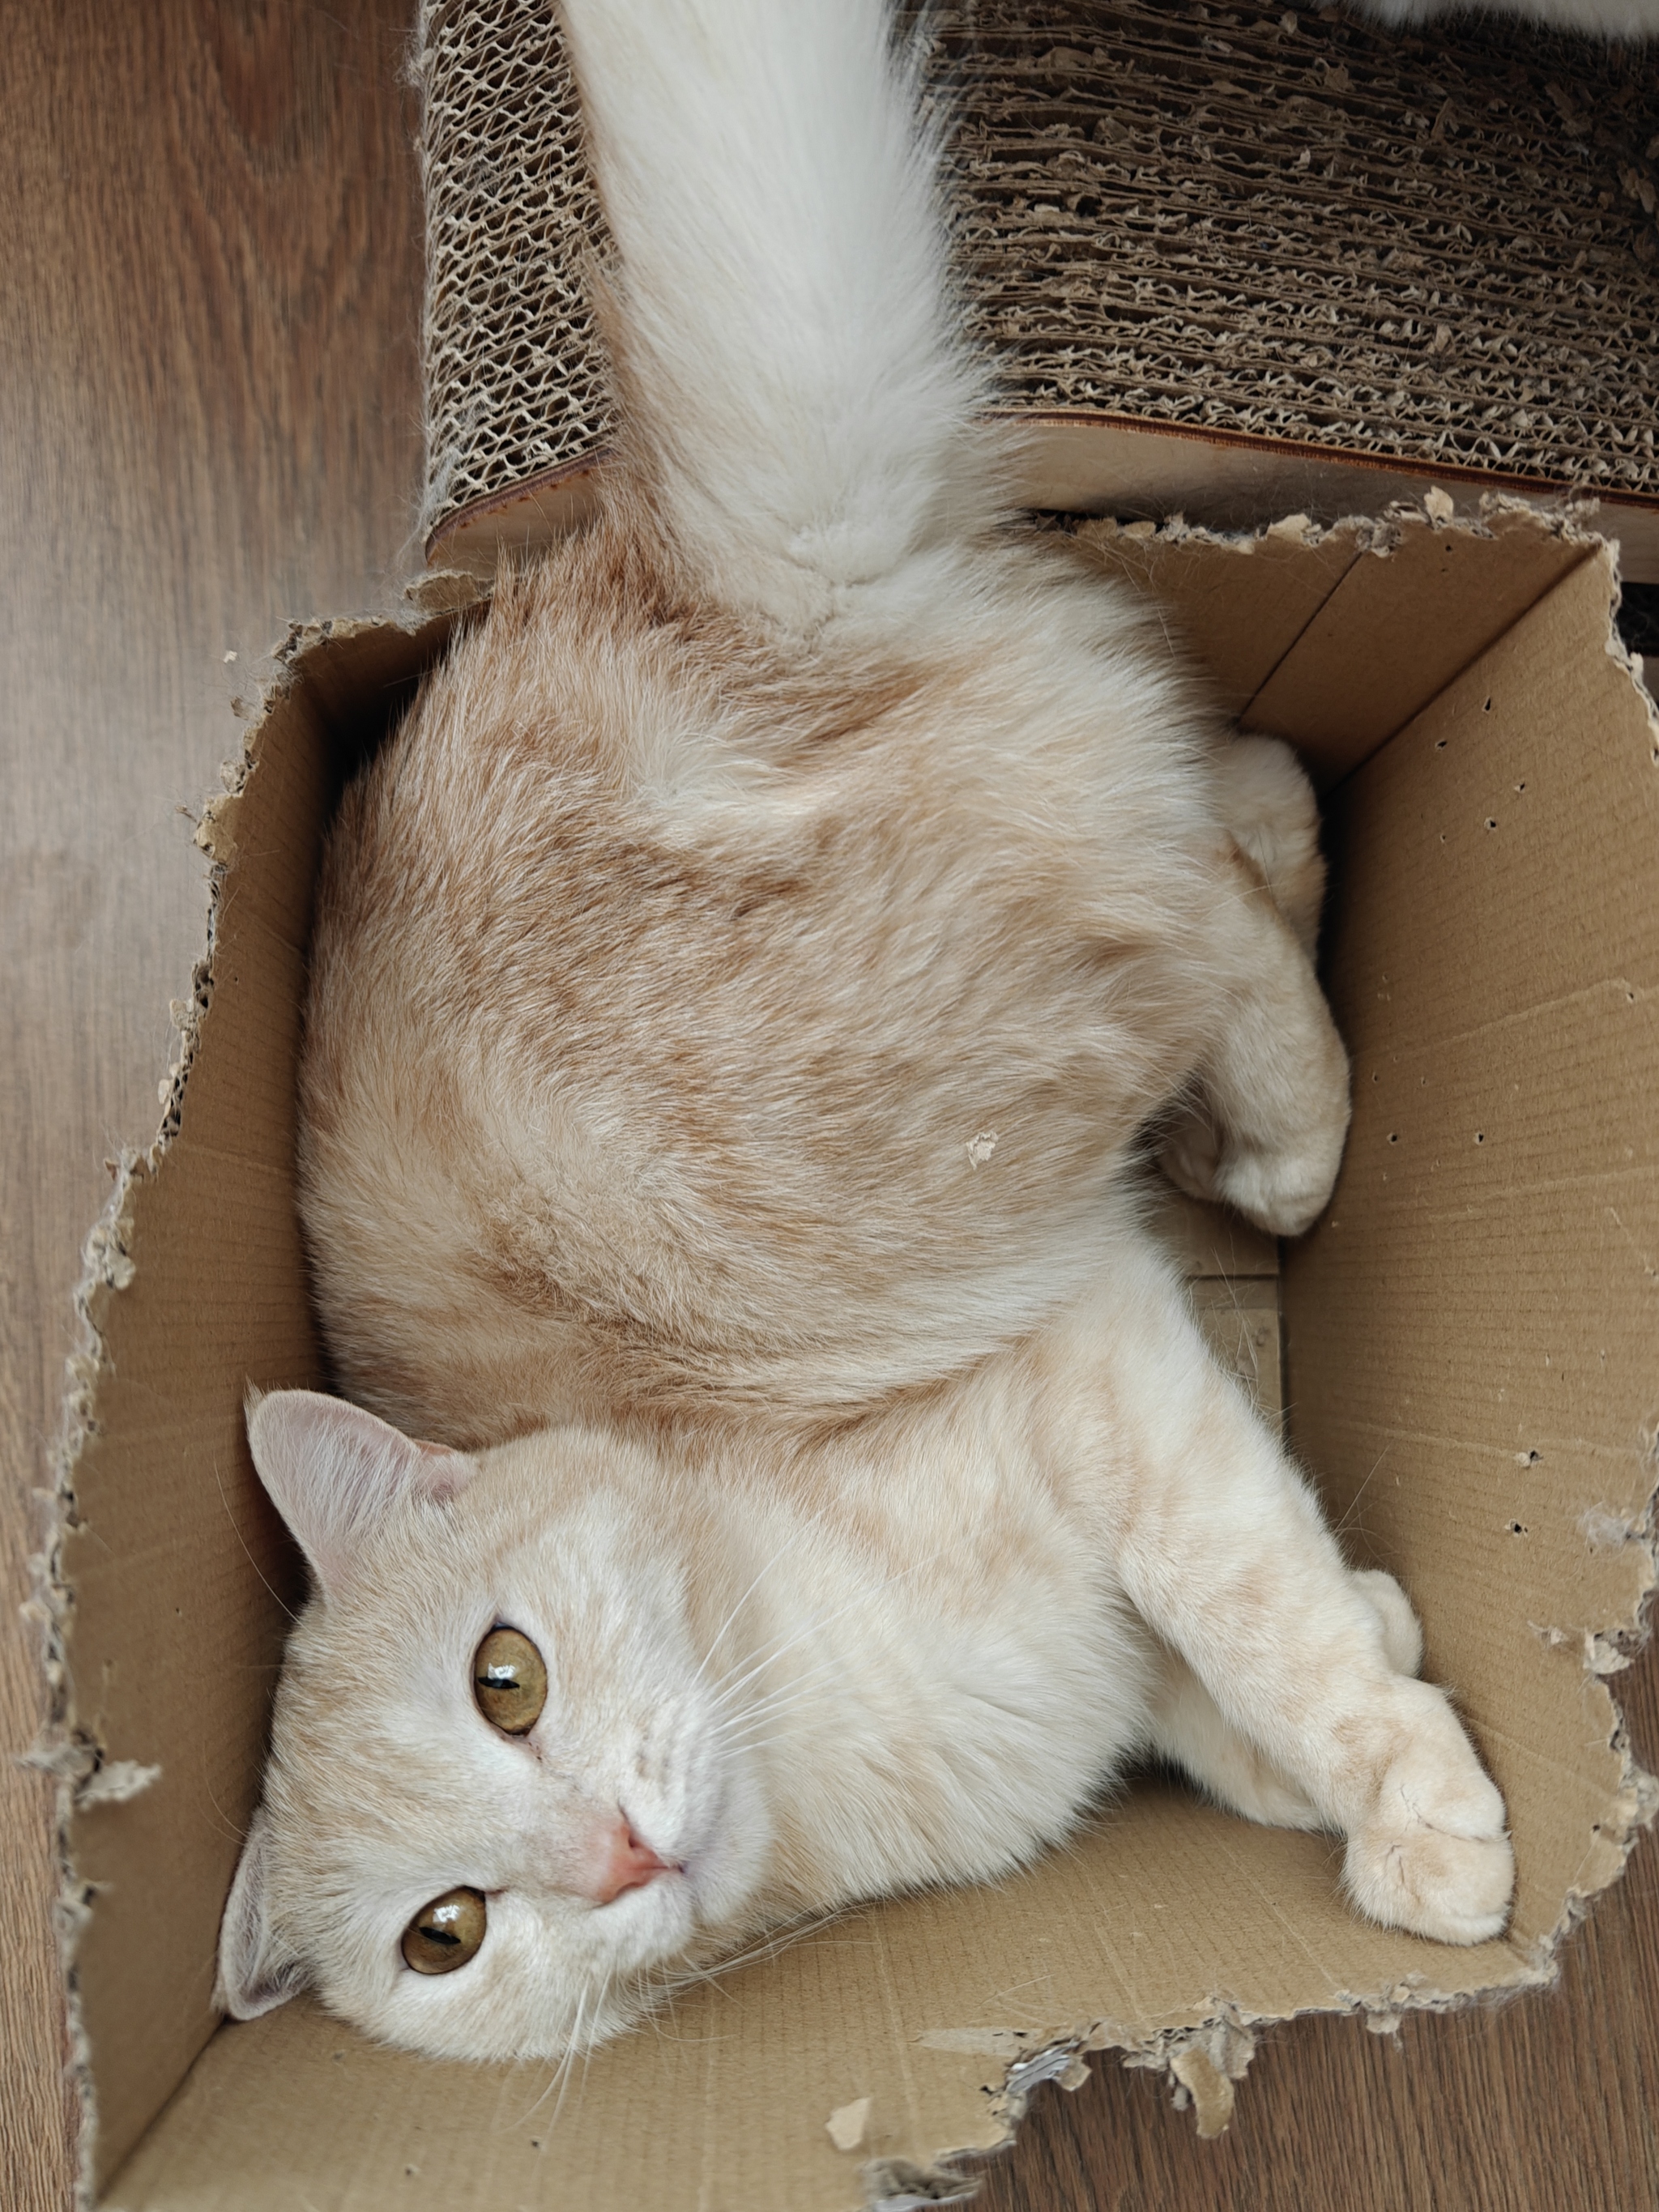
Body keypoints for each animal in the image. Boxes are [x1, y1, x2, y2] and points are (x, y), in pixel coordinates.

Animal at [217, 0, 1514, 2062]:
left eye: (507, 1679)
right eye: (448, 1933)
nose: (614, 1859)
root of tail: (641, 576)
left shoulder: (1105, 1374)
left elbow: (1262, 1622)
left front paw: (1407, 1801)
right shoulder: (1142, 1489)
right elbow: (1227, 1697)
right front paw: (1378, 1683)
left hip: (959, 1094)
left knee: (1205, 900)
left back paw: (1286, 1148)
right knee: (1237, 795)